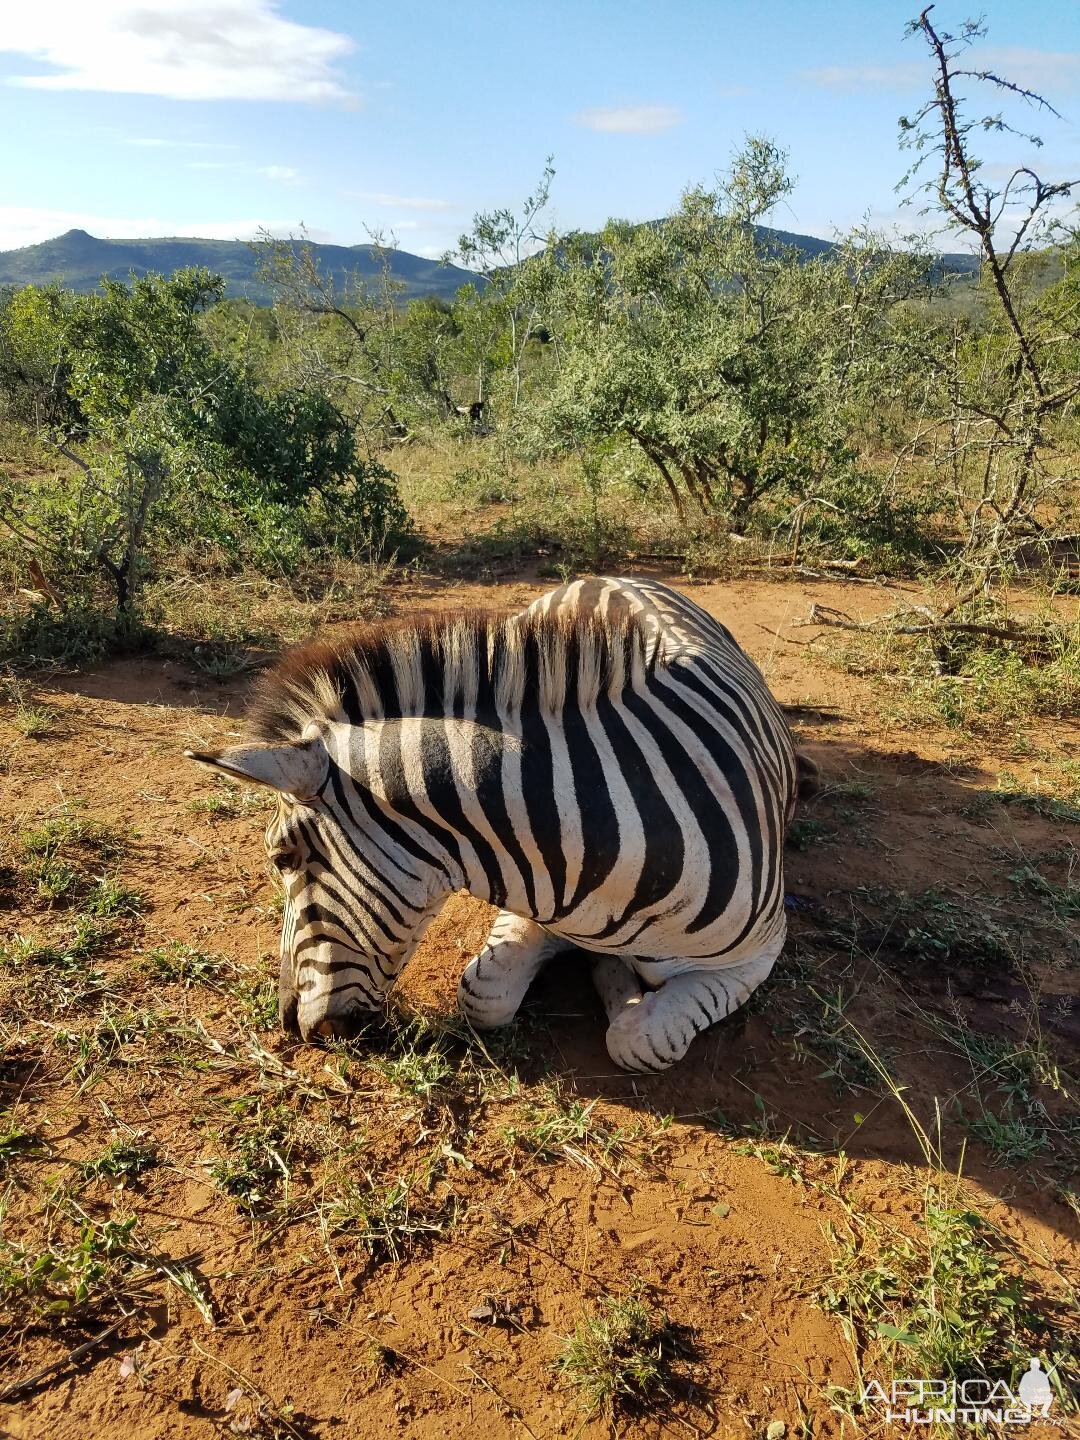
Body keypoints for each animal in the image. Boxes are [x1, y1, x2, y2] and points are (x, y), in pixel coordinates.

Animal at [185, 578, 817, 1077]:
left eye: (282, 858)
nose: (289, 1024)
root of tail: (608, 576)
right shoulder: (534, 898)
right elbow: (484, 993)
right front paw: (607, 971)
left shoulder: (756, 954)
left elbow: (640, 1038)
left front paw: (621, 989)